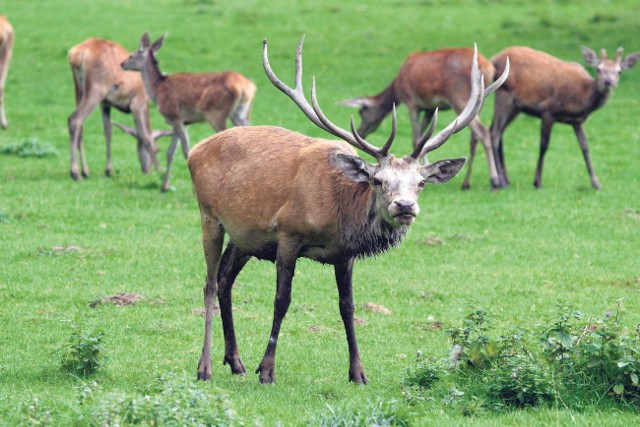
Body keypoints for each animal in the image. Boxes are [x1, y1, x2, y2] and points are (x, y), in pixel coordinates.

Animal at [66, 37, 162, 181]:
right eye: (157, 150)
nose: (147, 170)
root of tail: (76, 54)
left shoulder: (105, 103)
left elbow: (108, 131)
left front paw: (108, 170)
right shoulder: (137, 103)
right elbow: (144, 135)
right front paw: (160, 170)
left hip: (79, 89)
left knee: (80, 126)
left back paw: (85, 171)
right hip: (95, 90)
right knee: (74, 119)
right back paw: (75, 172)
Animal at [121, 32, 256, 193]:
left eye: (133, 54)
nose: (122, 64)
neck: (158, 90)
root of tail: (245, 87)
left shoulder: (176, 117)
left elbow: (186, 150)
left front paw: (191, 189)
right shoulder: (178, 122)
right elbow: (170, 152)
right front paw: (164, 186)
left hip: (216, 113)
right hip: (242, 113)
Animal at [340, 46, 504, 191]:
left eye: (362, 112)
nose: (361, 131)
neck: (397, 88)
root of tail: (487, 67)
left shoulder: (411, 102)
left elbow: (416, 137)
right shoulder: (429, 109)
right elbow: (422, 137)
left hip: (459, 96)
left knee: (483, 132)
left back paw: (494, 180)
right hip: (480, 100)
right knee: (475, 136)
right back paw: (468, 183)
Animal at [490, 44, 640, 189]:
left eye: (619, 71)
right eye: (598, 69)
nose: (608, 81)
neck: (580, 99)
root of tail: (494, 59)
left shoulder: (578, 122)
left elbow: (585, 147)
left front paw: (596, 183)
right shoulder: (548, 110)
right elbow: (544, 145)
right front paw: (537, 181)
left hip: (516, 107)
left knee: (498, 131)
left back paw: (506, 179)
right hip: (504, 94)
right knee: (495, 132)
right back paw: (501, 181)